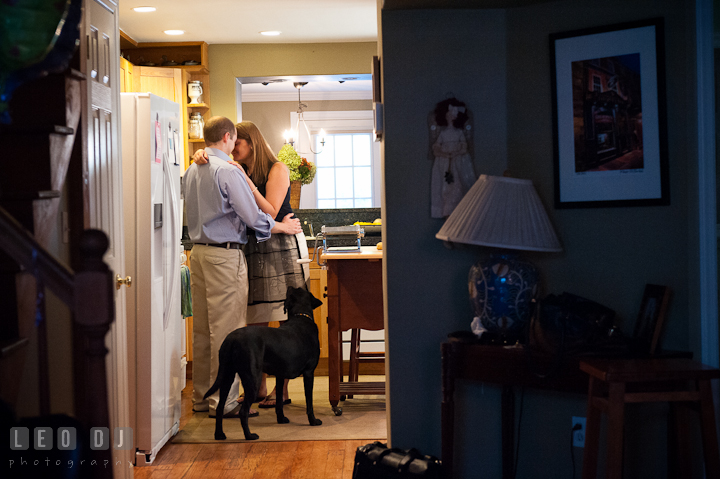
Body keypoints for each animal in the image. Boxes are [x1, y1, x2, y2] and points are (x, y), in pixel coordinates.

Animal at [204, 286, 324, 440]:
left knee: (220, 408)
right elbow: (309, 403)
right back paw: (249, 436)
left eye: (296, 289)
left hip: (227, 377)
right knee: (243, 412)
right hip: (252, 379)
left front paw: (281, 419)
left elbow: (279, 402)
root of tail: (232, 338)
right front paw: (313, 421)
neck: (300, 315)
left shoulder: (280, 376)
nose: (290, 286)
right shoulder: (309, 373)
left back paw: (219, 435)